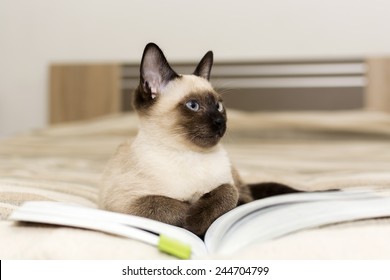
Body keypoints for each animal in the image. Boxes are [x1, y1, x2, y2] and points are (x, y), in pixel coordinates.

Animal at [99, 43, 298, 236]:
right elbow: (168, 204)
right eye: (193, 105)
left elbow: (229, 192)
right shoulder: (124, 204)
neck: (191, 155)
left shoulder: (232, 188)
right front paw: (192, 222)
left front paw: (197, 220)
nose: (220, 122)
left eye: (218, 106)